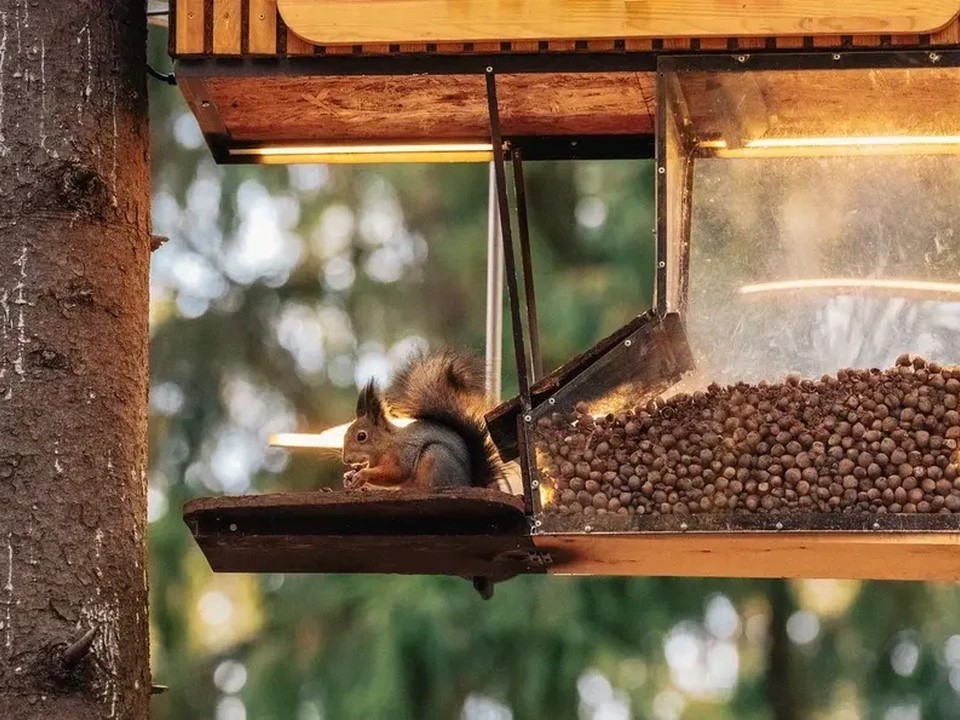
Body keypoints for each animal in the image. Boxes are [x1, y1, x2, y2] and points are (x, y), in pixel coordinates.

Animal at [342, 348, 506, 492]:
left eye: (361, 436)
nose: (346, 460)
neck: (385, 445)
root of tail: (469, 483)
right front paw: (349, 475)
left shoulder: (402, 455)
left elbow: (396, 473)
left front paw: (362, 475)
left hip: (434, 457)